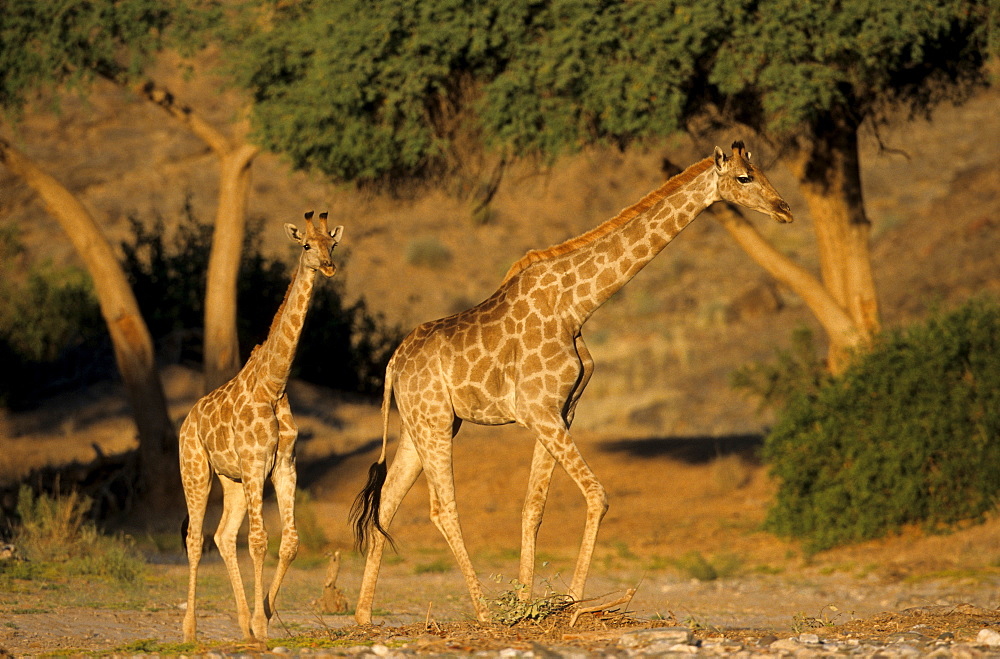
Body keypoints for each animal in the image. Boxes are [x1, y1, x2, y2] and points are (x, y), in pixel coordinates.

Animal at [182, 213, 346, 644]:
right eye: (306, 245)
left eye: (332, 244)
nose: (329, 266)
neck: (274, 385)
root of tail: (187, 420)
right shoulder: (257, 463)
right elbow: (258, 542)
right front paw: (261, 622)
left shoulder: (284, 465)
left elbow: (289, 542)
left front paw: (265, 618)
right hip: (196, 470)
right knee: (195, 539)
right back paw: (189, 630)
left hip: (232, 480)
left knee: (222, 536)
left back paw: (242, 624)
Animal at [352, 142, 788, 628]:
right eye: (745, 177)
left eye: (761, 170)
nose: (784, 208)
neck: (576, 306)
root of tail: (393, 362)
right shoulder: (539, 409)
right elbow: (597, 495)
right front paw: (574, 604)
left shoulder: (561, 411)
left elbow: (533, 508)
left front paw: (528, 604)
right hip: (433, 422)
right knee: (442, 508)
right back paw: (482, 613)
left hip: (423, 424)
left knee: (386, 501)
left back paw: (363, 615)